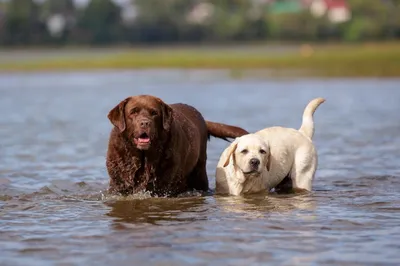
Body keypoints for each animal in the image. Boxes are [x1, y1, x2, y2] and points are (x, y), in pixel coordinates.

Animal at [105, 94, 247, 196]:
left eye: (154, 113)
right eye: (133, 112)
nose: (145, 123)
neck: (143, 156)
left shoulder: (166, 184)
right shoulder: (118, 183)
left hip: (199, 171)